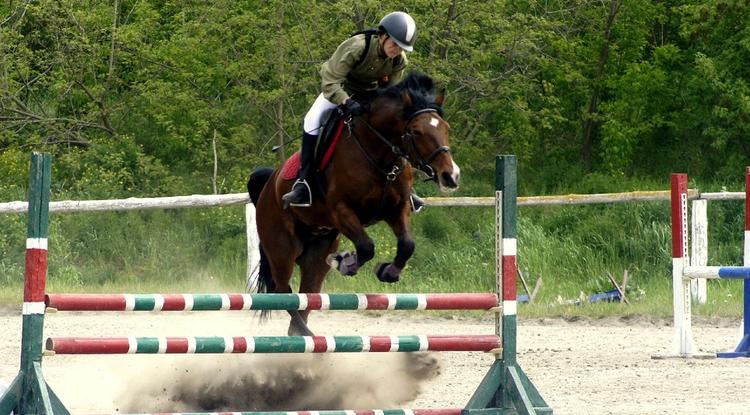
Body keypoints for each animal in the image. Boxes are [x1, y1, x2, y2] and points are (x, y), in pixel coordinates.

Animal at [248, 73, 458, 336]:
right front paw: (346, 263)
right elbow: (367, 247)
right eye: (416, 131)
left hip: (318, 249)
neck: (379, 154)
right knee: (282, 290)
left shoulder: (397, 209)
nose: (450, 176)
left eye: (446, 128)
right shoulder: (341, 211)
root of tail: (268, 184)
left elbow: (407, 245)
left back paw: (302, 333)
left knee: (309, 291)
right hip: (282, 248)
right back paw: (305, 334)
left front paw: (387, 272)